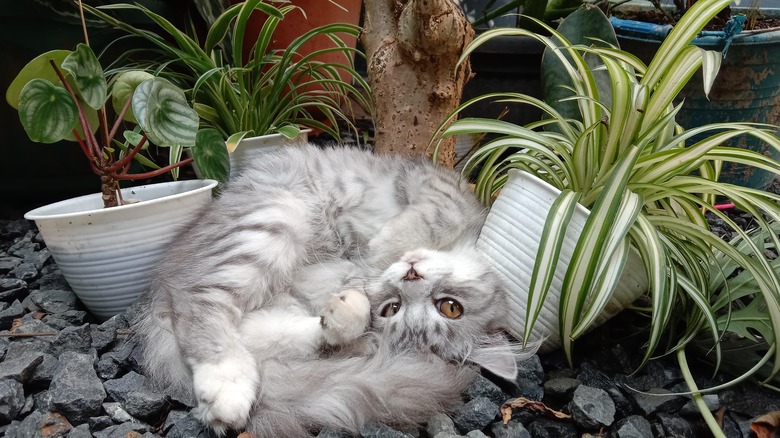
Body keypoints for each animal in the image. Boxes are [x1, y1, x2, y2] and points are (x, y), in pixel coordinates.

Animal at [134, 143, 536, 434]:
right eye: (451, 306)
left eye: (392, 309)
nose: (410, 277)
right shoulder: (437, 184)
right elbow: (431, 220)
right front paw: (382, 251)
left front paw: (358, 294)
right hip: (275, 217)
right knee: (198, 300)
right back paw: (228, 382)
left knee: (255, 331)